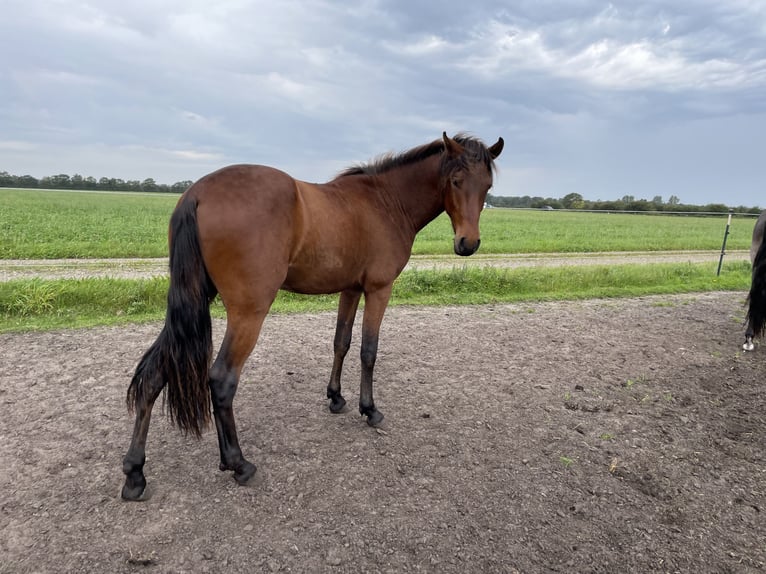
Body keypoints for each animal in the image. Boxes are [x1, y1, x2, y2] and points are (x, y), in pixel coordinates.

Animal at [121, 133, 504, 502]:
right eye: (455, 180)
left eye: (486, 186)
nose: (468, 243)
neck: (386, 200)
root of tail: (197, 193)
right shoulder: (379, 289)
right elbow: (368, 350)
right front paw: (370, 409)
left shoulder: (350, 289)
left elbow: (341, 342)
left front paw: (336, 397)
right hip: (248, 313)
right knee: (221, 380)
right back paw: (238, 463)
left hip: (193, 301)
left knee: (155, 374)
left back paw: (135, 473)